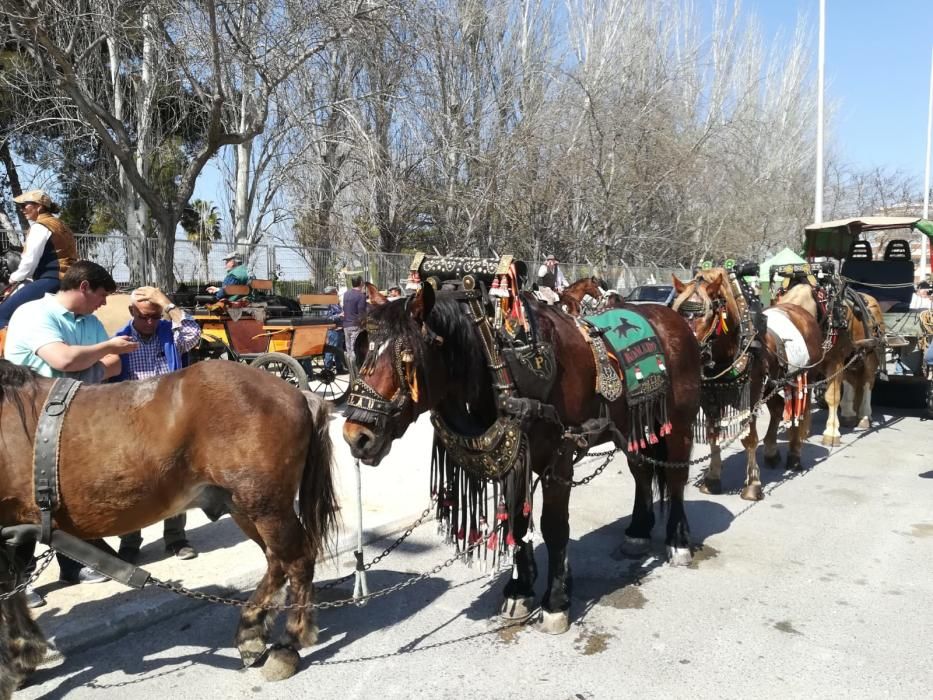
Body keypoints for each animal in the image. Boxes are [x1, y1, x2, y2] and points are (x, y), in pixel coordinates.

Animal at [0, 360, 334, 696]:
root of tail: (297, 393)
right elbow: (12, 592)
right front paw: (23, 658)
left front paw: (10, 668)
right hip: (244, 506)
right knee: (277, 561)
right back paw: (251, 630)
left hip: (266, 506)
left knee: (297, 560)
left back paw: (288, 645)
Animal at [342, 280, 700, 636]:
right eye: (361, 351)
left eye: (406, 358)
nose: (355, 436)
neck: (503, 363)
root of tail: (675, 318)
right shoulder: (515, 461)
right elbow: (517, 521)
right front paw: (521, 589)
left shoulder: (560, 457)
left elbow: (554, 527)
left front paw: (555, 600)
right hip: (634, 424)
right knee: (641, 471)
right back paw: (638, 531)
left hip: (679, 423)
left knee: (676, 478)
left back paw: (678, 540)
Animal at [668, 266, 824, 498]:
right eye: (678, 313)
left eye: (709, 314)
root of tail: (801, 311)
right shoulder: (710, 399)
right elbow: (713, 436)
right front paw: (712, 478)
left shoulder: (749, 397)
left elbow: (749, 438)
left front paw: (752, 484)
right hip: (770, 385)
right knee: (778, 408)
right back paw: (771, 452)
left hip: (804, 378)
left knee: (801, 414)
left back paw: (795, 456)